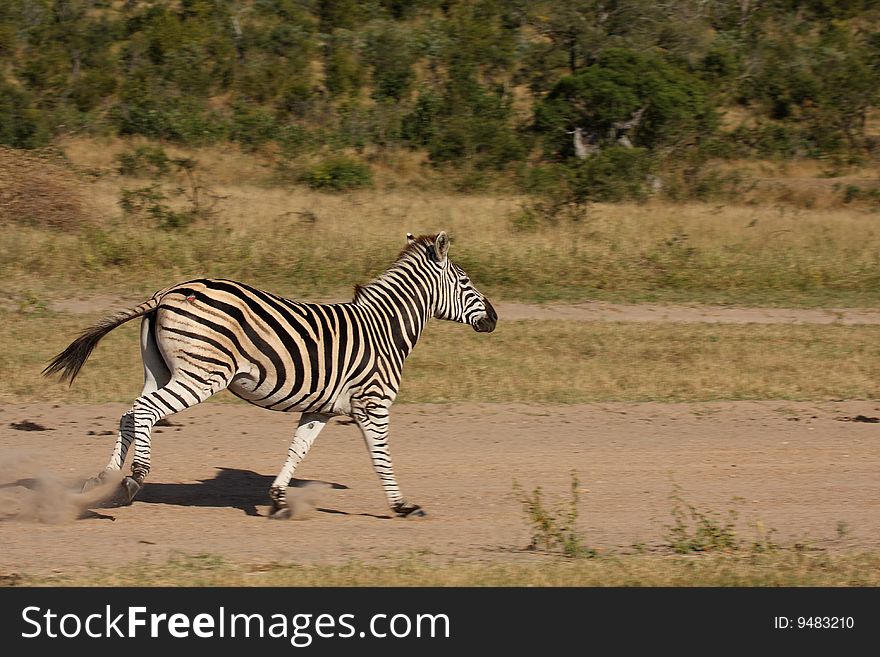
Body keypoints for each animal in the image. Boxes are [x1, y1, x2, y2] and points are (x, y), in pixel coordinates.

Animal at [43, 231, 496, 516]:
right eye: (466, 281)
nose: (494, 319)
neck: (385, 328)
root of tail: (168, 291)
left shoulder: (322, 407)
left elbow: (298, 449)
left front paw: (278, 499)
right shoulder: (374, 403)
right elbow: (381, 457)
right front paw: (402, 506)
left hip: (160, 369)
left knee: (129, 413)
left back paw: (102, 479)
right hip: (203, 374)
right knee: (145, 412)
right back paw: (133, 482)